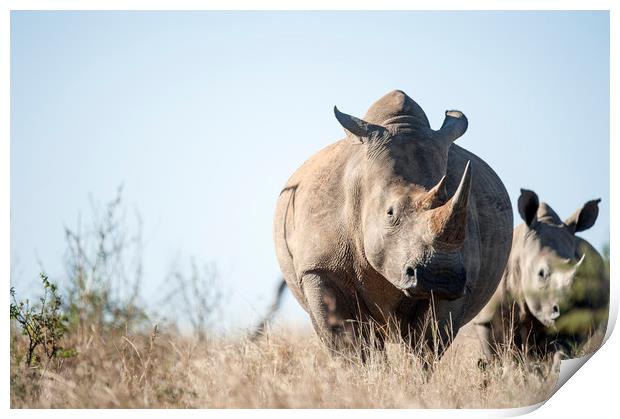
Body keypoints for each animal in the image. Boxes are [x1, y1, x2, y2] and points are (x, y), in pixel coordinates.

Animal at [472, 189, 608, 360]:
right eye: (541, 274)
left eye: (582, 275)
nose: (567, 311)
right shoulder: (486, 317)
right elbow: (494, 353)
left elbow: (561, 348)